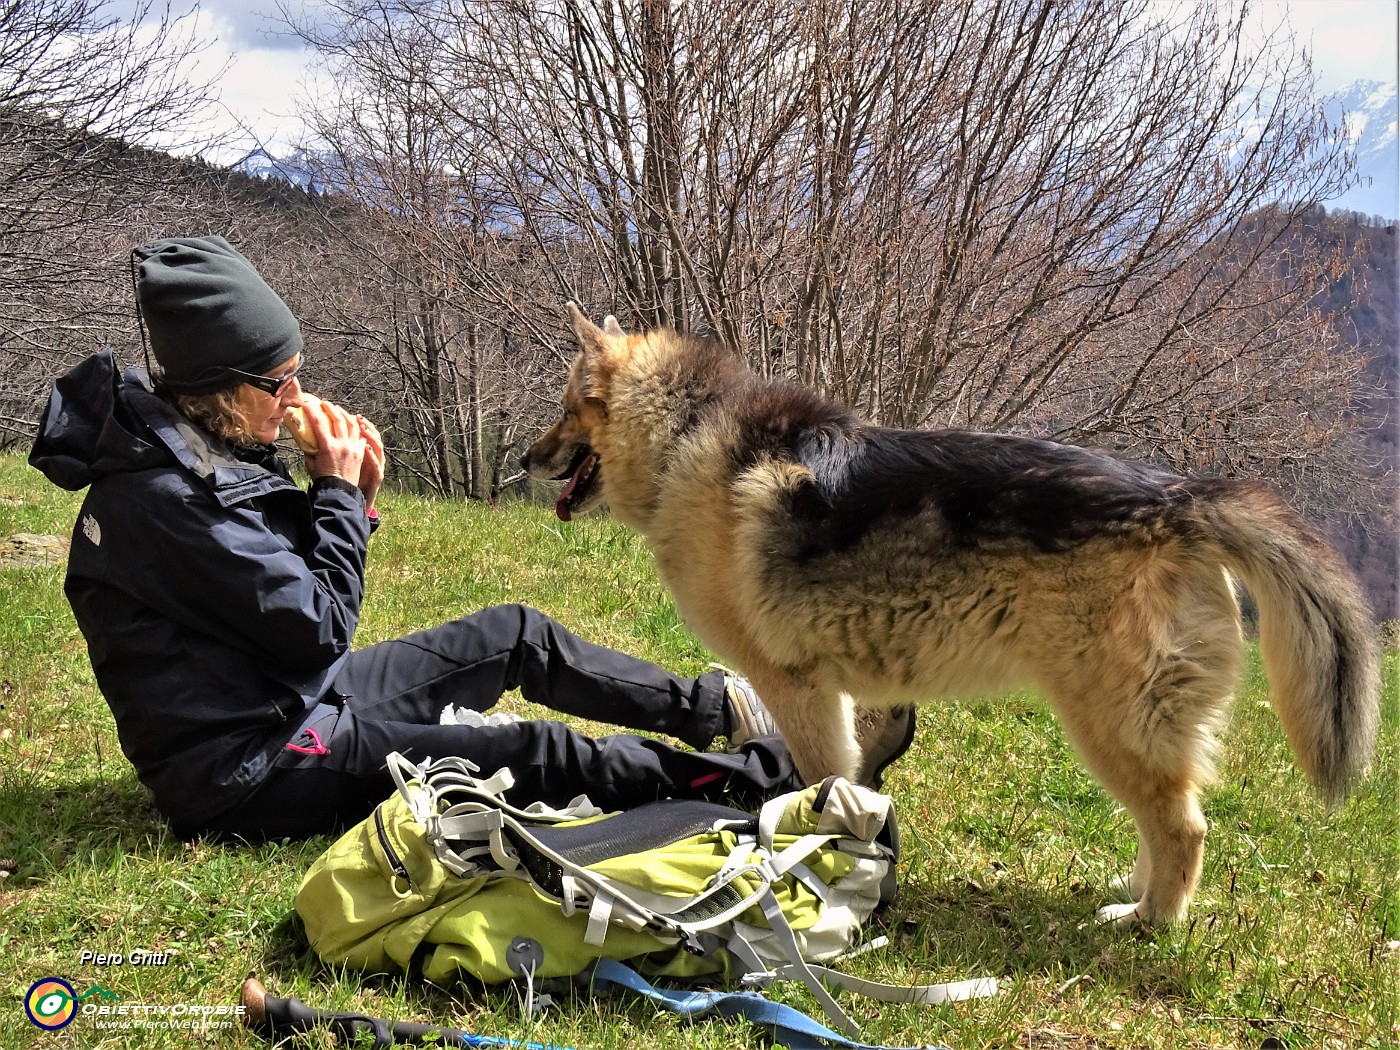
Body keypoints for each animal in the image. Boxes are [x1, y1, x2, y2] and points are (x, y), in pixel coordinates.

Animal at [523, 306, 1377, 929]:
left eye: (565, 411)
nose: (523, 462)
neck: (683, 436)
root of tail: (1181, 501)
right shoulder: (850, 694)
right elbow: (856, 773)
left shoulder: (798, 687)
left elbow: (822, 781)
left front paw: (812, 851)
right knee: (1164, 820)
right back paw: (1135, 894)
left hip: (1109, 722)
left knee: (1184, 826)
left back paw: (1150, 921)